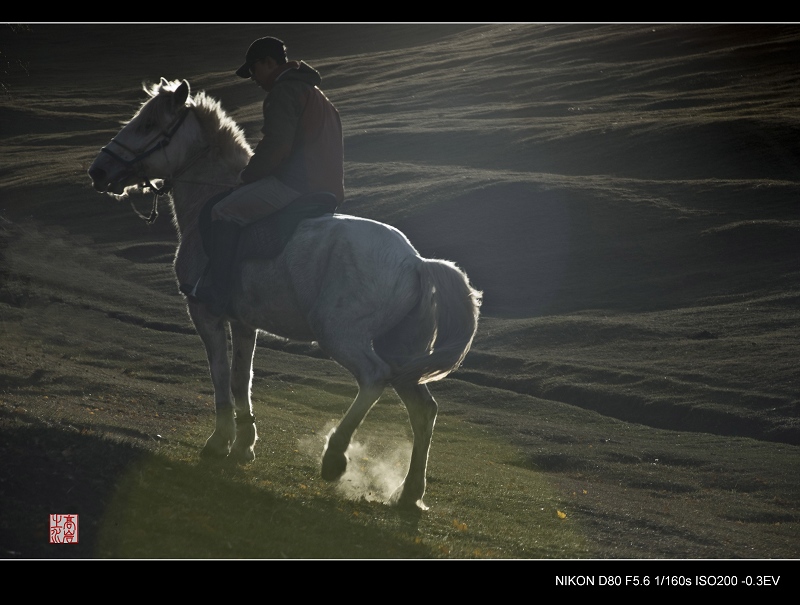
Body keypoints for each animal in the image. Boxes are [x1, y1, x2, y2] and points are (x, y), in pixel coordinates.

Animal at [89, 76, 482, 510]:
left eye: (147, 124)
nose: (98, 171)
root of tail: (415, 262)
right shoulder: (244, 323)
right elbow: (241, 378)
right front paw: (244, 445)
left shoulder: (205, 314)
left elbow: (220, 375)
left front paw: (219, 442)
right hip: (403, 354)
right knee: (423, 411)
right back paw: (409, 495)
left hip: (342, 336)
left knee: (374, 378)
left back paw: (335, 456)